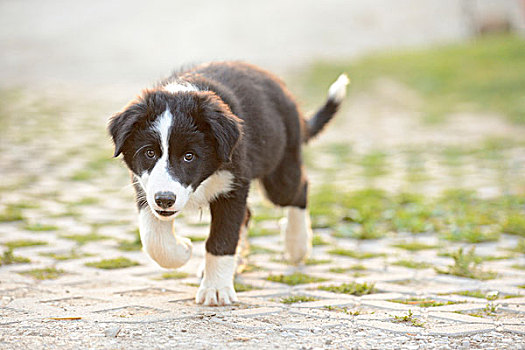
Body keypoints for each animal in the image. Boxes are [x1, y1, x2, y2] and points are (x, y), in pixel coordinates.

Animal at [107, 61, 348, 304]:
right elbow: (153, 239)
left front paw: (215, 289)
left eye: (189, 156)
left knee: (298, 191)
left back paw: (297, 245)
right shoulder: (144, 188)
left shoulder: (233, 187)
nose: (165, 200)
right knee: (249, 213)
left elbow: (222, 239)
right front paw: (182, 250)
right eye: (149, 153)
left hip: (280, 169)